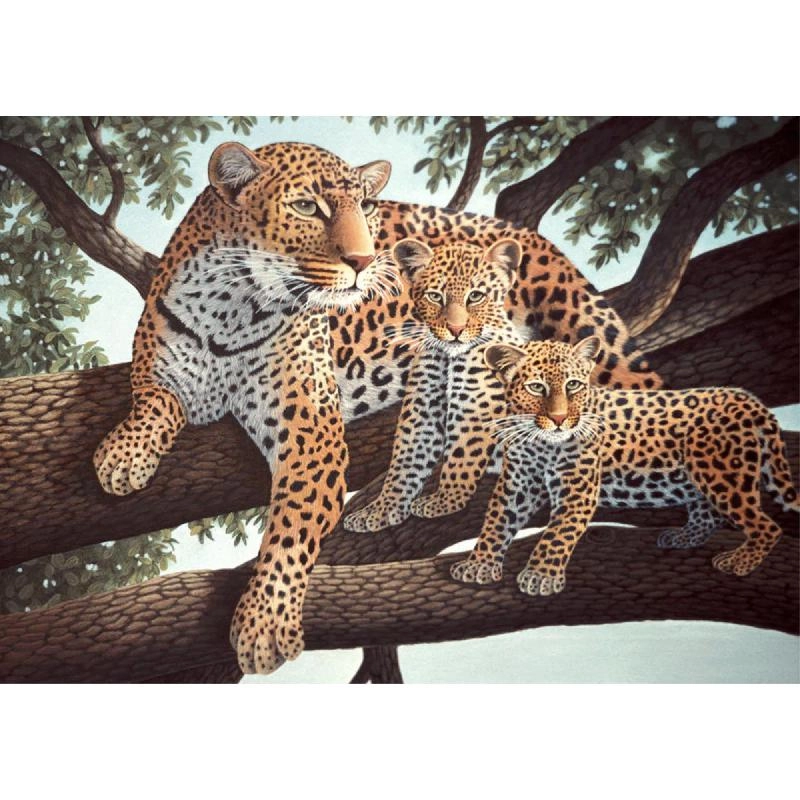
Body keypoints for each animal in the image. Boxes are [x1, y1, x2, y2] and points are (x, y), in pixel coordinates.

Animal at [344, 237, 526, 533]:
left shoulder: (476, 410)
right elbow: (405, 463)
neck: (448, 358)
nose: (455, 330)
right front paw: (381, 510)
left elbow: (463, 456)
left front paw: (445, 500)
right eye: (435, 296)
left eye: (476, 296)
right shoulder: (423, 413)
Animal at [451, 336, 798, 596]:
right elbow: (497, 522)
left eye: (573, 385)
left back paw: (740, 562)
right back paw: (683, 537)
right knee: (708, 515)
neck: (540, 441)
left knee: (767, 526)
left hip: (723, 475)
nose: (560, 419)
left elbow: (557, 534)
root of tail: (750, 401)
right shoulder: (519, 483)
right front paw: (480, 563)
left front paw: (541, 575)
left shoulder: (577, 490)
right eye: (536, 387)